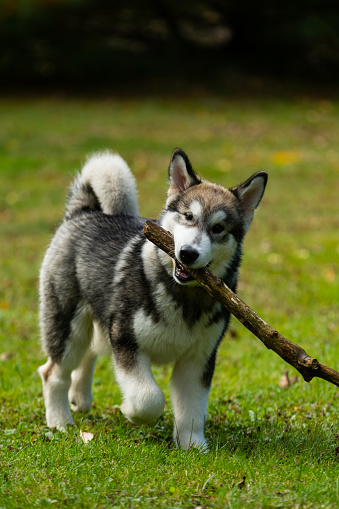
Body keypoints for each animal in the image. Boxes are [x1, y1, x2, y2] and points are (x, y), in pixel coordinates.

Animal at [38, 148, 268, 448]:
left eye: (218, 228)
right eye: (188, 216)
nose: (187, 253)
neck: (183, 296)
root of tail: (83, 211)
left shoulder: (198, 359)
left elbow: (192, 410)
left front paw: (193, 446)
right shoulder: (126, 341)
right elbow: (150, 398)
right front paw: (129, 410)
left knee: (88, 353)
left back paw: (80, 398)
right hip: (68, 325)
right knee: (53, 372)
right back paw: (60, 422)